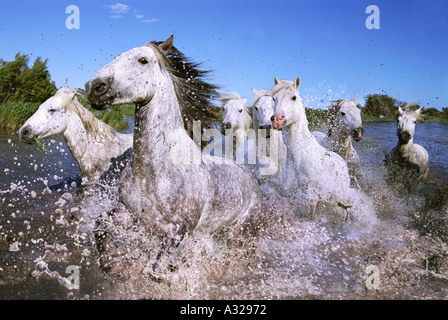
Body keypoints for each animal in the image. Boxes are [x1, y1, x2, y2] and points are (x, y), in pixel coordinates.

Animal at [85, 35, 260, 244]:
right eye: (116, 56)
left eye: (143, 60)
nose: (93, 87)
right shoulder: (128, 214)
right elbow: (99, 228)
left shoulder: (176, 232)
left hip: (242, 228)